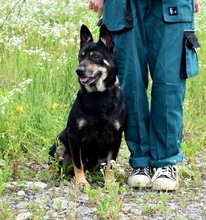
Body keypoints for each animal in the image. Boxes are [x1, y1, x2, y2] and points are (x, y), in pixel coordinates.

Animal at [49, 24, 126, 185]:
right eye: (81, 56)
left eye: (95, 56)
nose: (79, 70)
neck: (99, 95)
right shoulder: (74, 135)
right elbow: (78, 163)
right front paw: (81, 182)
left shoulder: (116, 137)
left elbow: (111, 164)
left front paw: (109, 183)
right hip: (60, 145)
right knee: (56, 162)